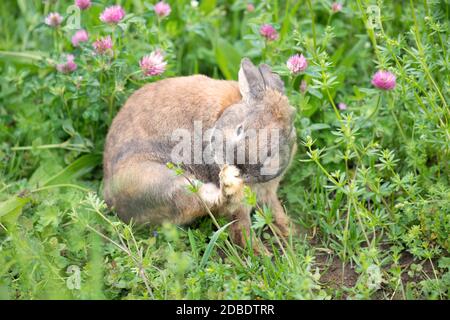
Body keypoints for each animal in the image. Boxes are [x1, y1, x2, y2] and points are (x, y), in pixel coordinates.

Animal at [103, 57, 298, 248]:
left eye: (272, 152)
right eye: (240, 129)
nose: (239, 165)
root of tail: (112, 201)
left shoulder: (268, 192)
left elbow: (276, 211)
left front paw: (289, 230)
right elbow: (240, 227)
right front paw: (257, 250)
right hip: (164, 181)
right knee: (210, 200)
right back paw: (229, 186)